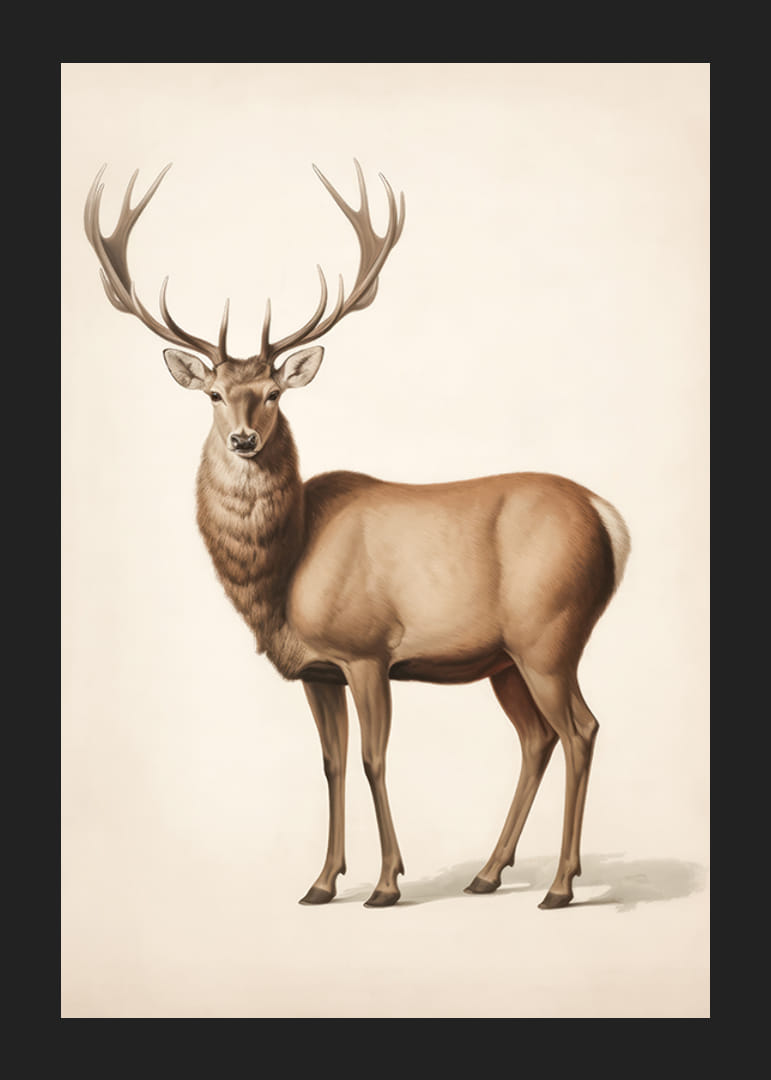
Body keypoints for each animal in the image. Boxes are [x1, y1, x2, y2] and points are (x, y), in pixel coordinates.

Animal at [84, 159, 630, 910]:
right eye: (214, 395)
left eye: (274, 393)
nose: (244, 438)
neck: (282, 578)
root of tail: (608, 518)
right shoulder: (318, 669)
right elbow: (331, 763)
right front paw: (319, 882)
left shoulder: (368, 649)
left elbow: (373, 759)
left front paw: (386, 883)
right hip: (507, 659)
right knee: (535, 739)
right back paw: (488, 874)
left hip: (551, 633)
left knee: (580, 729)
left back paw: (558, 886)